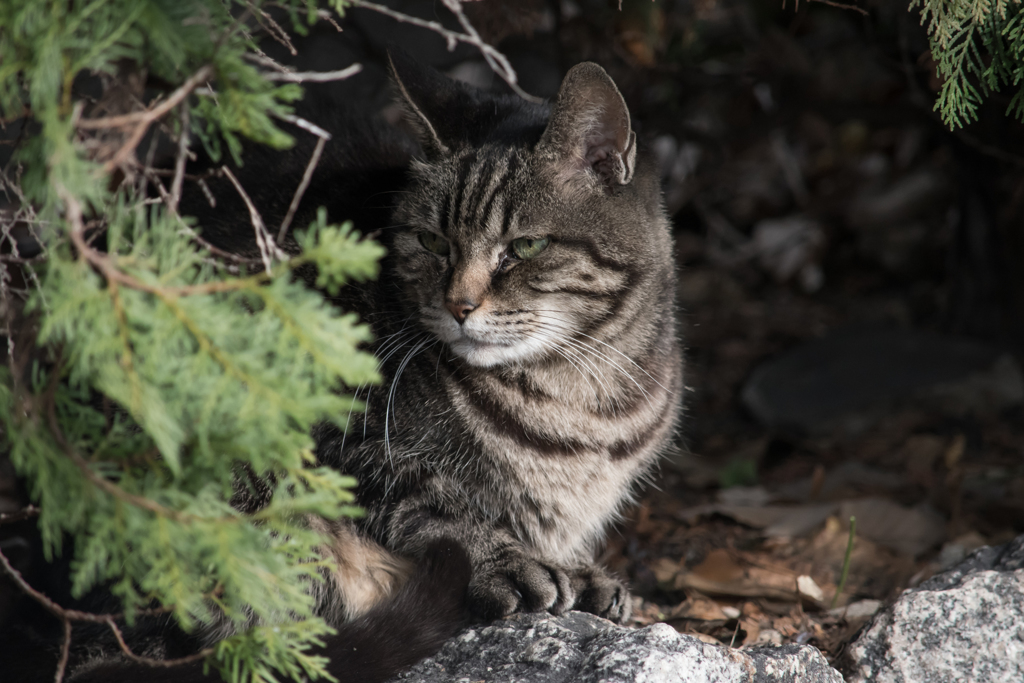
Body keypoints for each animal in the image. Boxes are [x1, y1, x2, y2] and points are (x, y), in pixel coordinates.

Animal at [68, 50, 684, 679]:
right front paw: (507, 560)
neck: (577, 396)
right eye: (433, 242)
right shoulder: (334, 426)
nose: (459, 306)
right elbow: (427, 496)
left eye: (525, 248)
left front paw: (580, 571)